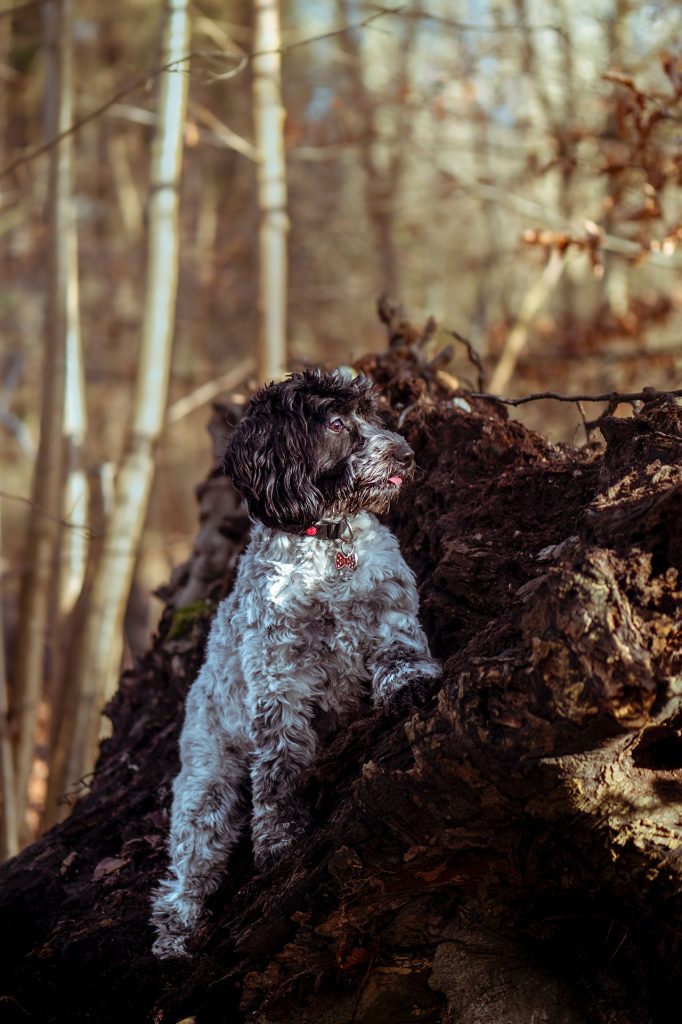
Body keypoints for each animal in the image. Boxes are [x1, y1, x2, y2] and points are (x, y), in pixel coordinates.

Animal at [149, 370, 438, 958]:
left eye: (372, 414)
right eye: (335, 423)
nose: (405, 452)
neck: (329, 544)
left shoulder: (389, 612)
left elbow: (402, 653)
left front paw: (411, 687)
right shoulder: (278, 679)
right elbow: (280, 769)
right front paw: (280, 839)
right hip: (206, 788)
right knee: (186, 869)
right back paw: (177, 932)